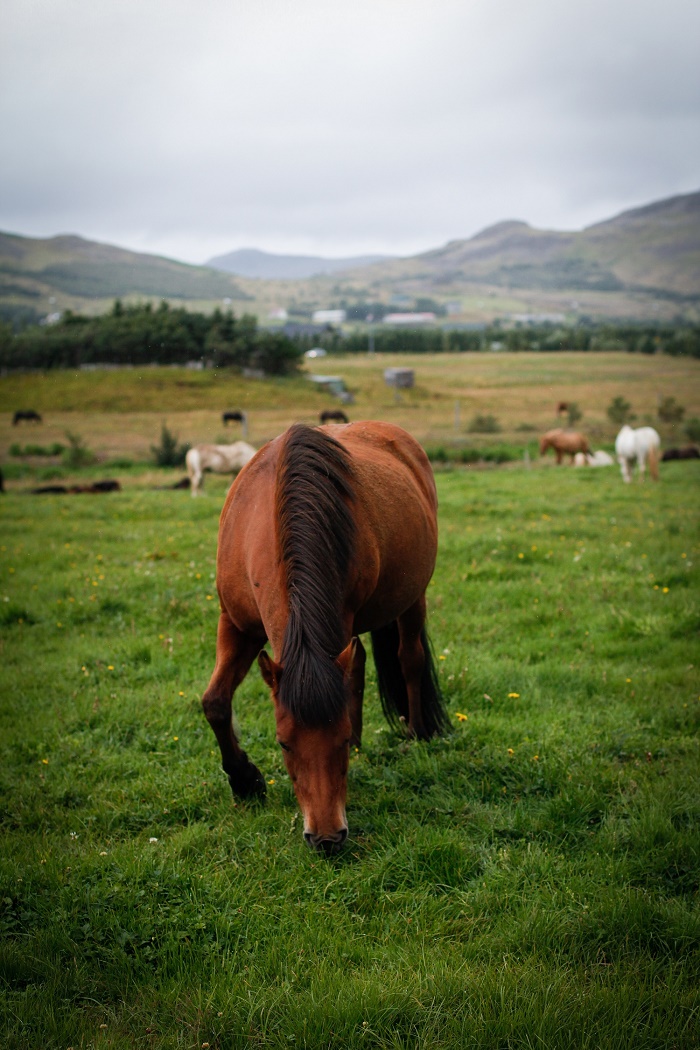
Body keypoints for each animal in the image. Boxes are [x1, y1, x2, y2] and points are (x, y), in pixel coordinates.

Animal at [199, 419, 449, 852]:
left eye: (339, 739)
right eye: (283, 743)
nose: (327, 838)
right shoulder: (236, 624)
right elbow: (215, 702)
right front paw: (245, 782)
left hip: (412, 597)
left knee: (410, 659)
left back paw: (416, 734)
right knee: (360, 664)